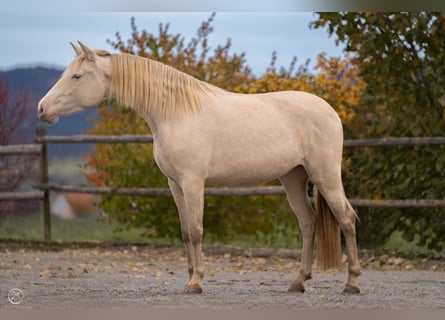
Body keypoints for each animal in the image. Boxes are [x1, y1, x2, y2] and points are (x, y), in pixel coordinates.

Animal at [38, 42, 360, 296]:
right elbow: (184, 231)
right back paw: (298, 281)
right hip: (293, 177)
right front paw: (189, 278)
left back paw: (352, 283)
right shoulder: (175, 184)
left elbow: (195, 230)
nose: (42, 109)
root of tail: (330, 110)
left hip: (325, 175)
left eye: (77, 76)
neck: (175, 112)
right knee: (307, 222)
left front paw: (196, 282)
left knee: (346, 218)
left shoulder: (193, 182)